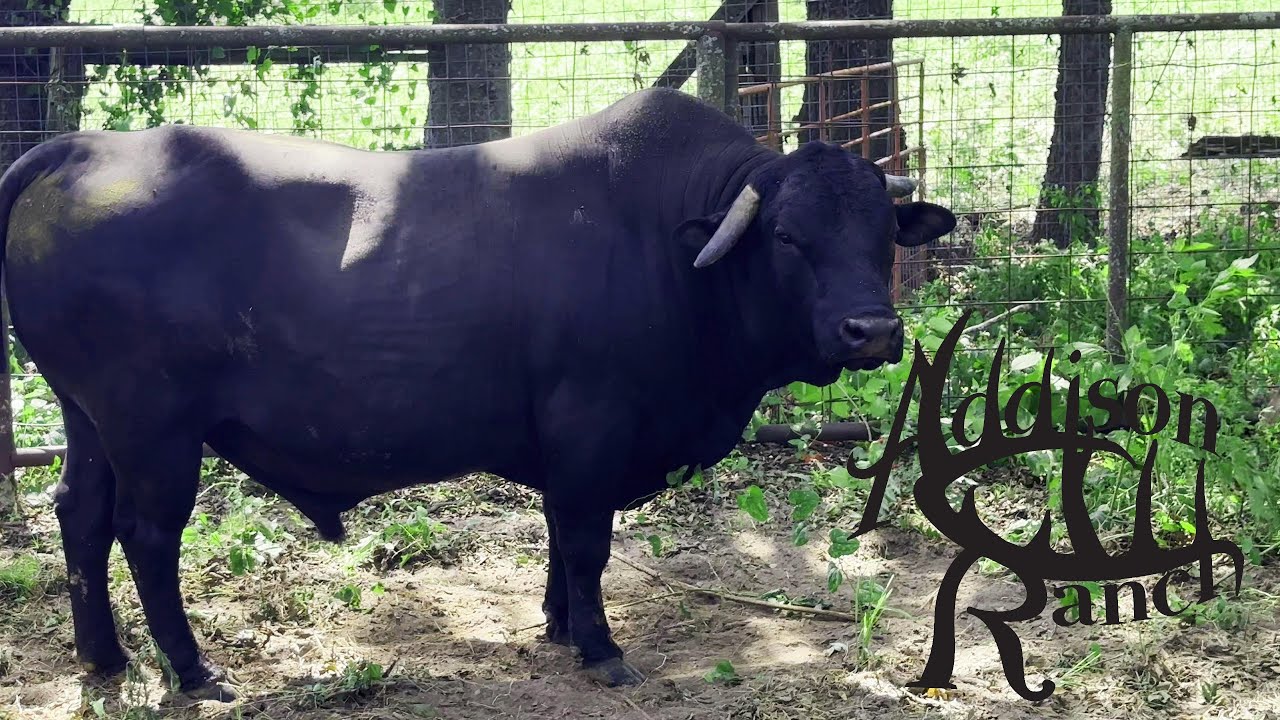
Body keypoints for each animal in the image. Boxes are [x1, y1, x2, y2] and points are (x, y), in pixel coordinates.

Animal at [0, 86, 956, 701]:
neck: (667, 244)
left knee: (81, 516)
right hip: (152, 427)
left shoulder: (566, 444)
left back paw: (105, 658)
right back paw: (193, 671)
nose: (873, 330)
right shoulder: (591, 429)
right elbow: (586, 542)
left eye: (881, 232)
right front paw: (600, 647)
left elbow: (560, 538)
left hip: (90, 420)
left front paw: (560, 624)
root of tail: (81, 146)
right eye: (788, 236)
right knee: (145, 535)